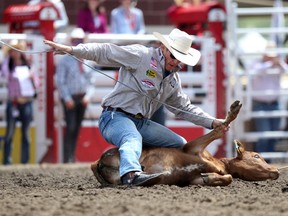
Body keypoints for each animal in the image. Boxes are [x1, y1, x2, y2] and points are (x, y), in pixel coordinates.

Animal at [91, 100, 280, 186]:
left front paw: (209, 177)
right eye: (256, 156)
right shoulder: (193, 147)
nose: (277, 170)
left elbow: (227, 178)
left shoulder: (193, 179)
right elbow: (218, 131)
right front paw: (233, 111)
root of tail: (98, 161)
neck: (217, 164)